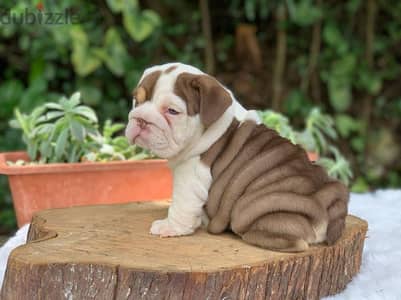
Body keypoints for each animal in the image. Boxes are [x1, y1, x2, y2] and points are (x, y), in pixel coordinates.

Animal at [124, 62, 346, 252]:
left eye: (172, 111)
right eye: (137, 100)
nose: (141, 119)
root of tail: (327, 198)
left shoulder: (190, 175)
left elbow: (181, 204)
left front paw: (170, 227)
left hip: (254, 208)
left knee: (295, 242)